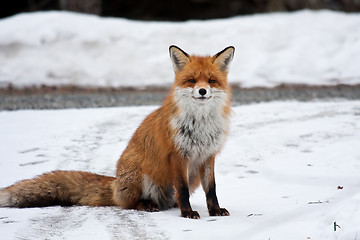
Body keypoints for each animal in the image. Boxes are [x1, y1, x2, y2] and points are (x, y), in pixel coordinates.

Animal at [0, 45, 235, 219]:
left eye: (211, 81)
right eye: (192, 80)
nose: (202, 91)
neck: (200, 124)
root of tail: (115, 183)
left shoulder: (207, 155)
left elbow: (211, 189)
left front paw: (214, 210)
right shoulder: (178, 155)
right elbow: (183, 190)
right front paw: (187, 213)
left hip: (189, 176)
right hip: (140, 174)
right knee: (129, 204)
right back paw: (147, 204)